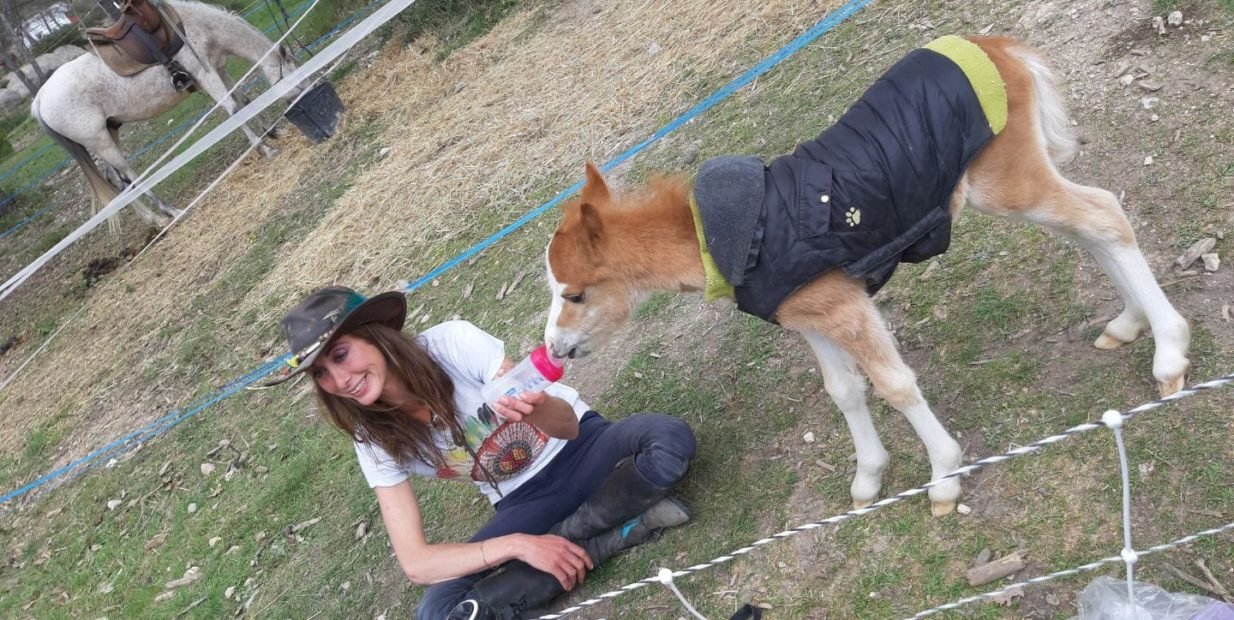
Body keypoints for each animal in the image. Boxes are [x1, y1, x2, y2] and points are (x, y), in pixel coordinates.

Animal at [31, 0, 304, 229]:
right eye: (295, 70)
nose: (307, 91)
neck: (195, 26)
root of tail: (41, 98)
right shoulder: (207, 75)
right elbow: (234, 110)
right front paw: (265, 148)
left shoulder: (218, 68)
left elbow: (244, 100)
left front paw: (273, 132)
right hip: (101, 142)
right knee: (133, 178)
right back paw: (172, 212)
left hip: (108, 134)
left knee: (115, 181)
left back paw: (155, 220)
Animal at [541, 36, 1191, 517]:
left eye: (574, 293)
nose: (555, 349)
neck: (736, 235)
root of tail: (995, 45)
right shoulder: (810, 316)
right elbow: (844, 390)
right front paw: (867, 480)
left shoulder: (845, 307)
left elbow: (895, 384)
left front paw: (944, 477)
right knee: (1088, 229)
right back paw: (1128, 325)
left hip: (1008, 180)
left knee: (1104, 214)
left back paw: (1169, 355)